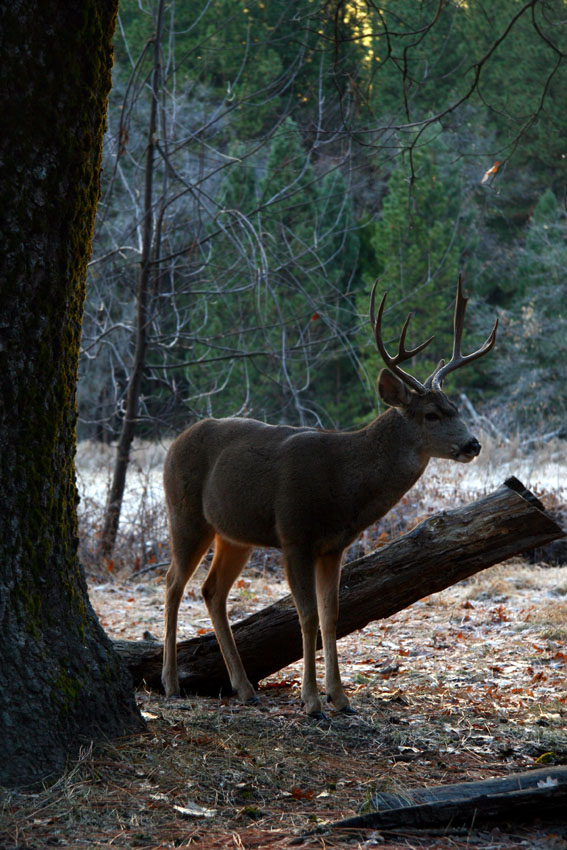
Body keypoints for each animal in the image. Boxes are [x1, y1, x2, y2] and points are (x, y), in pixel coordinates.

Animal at [161, 274, 496, 716]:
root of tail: (173, 443)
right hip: (185, 514)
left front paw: (340, 697)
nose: (473, 444)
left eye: (455, 407)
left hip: (234, 534)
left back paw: (244, 687)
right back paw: (170, 684)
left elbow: (331, 615)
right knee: (172, 584)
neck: (343, 485)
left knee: (212, 590)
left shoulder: (334, 545)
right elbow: (305, 616)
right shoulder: (294, 535)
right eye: (432, 415)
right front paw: (311, 701)